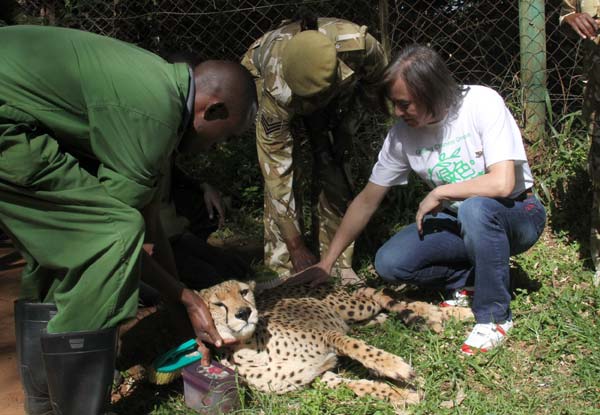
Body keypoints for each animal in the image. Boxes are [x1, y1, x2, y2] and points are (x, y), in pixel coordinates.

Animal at [195, 282, 472, 408]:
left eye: (243, 292)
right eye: (218, 304)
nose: (245, 312)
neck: (253, 347)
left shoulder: (328, 335)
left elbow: (359, 348)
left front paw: (395, 367)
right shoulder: (317, 377)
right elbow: (359, 386)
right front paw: (400, 394)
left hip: (353, 307)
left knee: (385, 296)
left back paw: (450, 313)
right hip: (360, 319)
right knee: (384, 311)